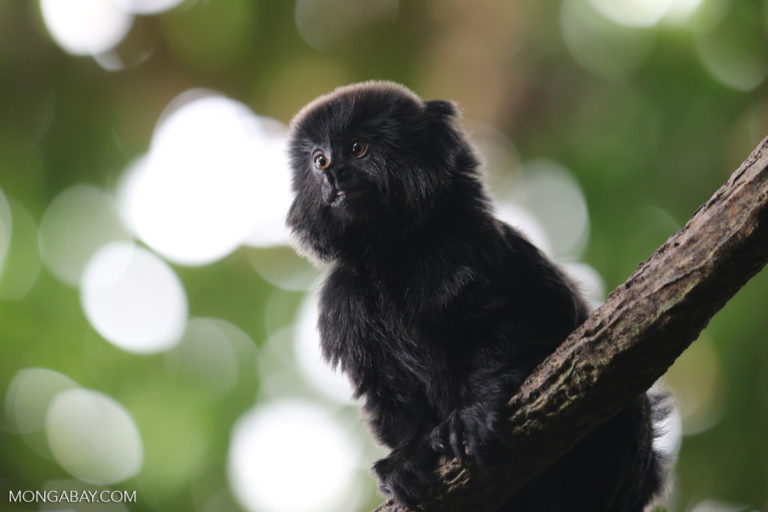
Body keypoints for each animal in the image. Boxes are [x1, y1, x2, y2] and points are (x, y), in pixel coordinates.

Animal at [284, 82, 664, 510]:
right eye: (319, 160)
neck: (395, 254)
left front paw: (477, 410)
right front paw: (409, 455)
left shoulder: (471, 244)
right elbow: (385, 392)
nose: (333, 175)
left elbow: (519, 320)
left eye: (356, 149)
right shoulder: (343, 301)